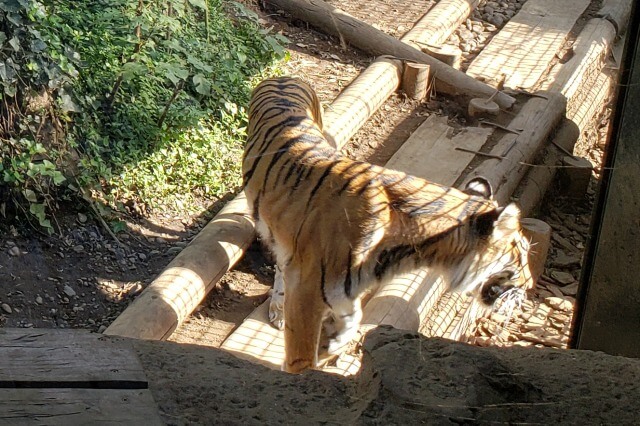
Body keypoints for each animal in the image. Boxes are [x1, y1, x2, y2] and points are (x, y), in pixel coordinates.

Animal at [242, 75, 532, 372]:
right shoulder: (306, 293)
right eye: (520, 256)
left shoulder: (338, 291)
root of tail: (283, 77)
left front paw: (335, 340)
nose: (529, 287)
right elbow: (301, 359)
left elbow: (353, 317)